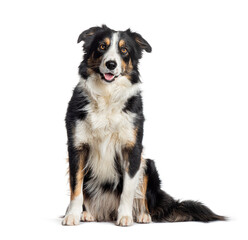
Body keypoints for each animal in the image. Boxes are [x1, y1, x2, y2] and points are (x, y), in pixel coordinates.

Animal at [62, 25, 225, 226]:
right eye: (102, 46)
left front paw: (125, 216)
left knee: (143, 198)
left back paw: (142, 215)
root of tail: (106, 212)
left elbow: (128, 189)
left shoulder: (132, 149)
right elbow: (76, 186)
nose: (111, 64)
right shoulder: (77, 147)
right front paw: (72, 215)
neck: (107, 96)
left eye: (124, 50)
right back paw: (88, 213)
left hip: (148, 164)